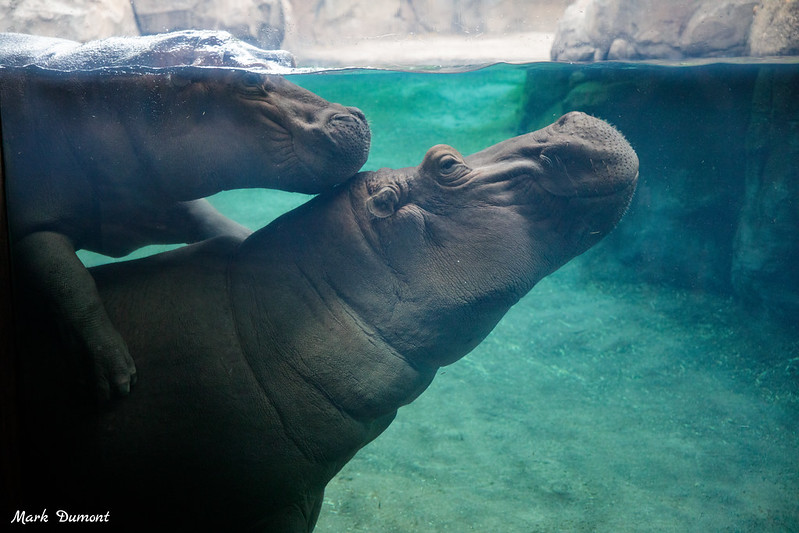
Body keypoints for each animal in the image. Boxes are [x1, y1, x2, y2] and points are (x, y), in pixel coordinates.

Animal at [0, 31, 370, 401]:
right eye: (249, 80)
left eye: (289, 61)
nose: (356, 116)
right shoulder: (33, 230)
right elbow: (73, 287)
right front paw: (116, 377)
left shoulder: (150, 203)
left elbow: (216, 225)